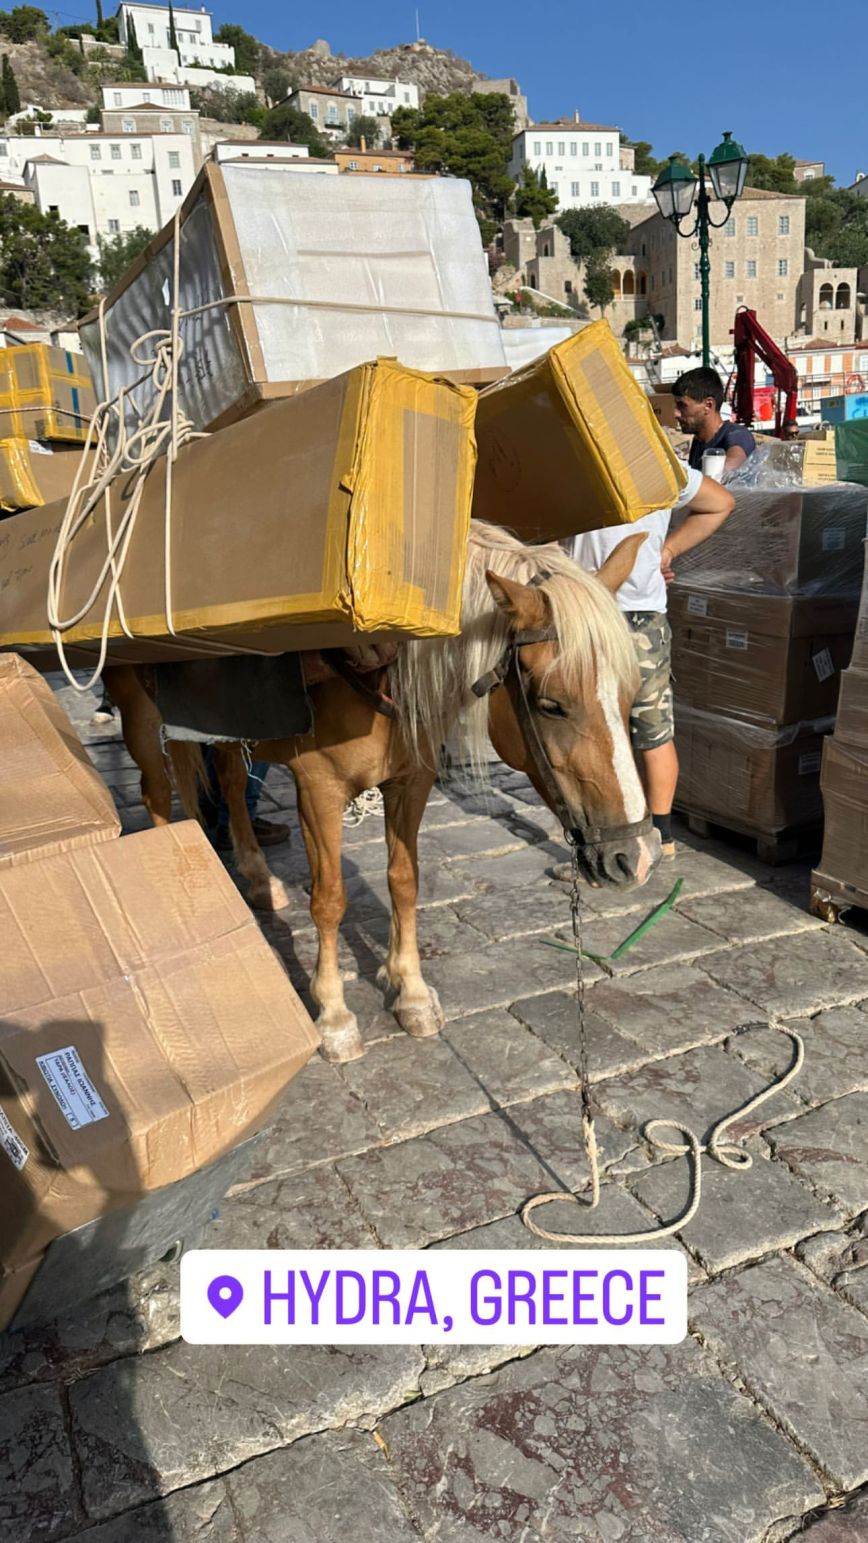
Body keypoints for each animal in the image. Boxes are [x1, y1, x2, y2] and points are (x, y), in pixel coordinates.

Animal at [104, 521, 658, 1064]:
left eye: (632, 692)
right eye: (551, 705)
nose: (633, 858)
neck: (379, 670)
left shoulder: (411, 783)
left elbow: (404, 882)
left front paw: (410, 991)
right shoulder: (319, 792)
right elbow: (329, 899)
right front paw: (333, 1015)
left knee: (231, 782)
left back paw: (258, 878)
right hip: (139, 714)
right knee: (157, 792)